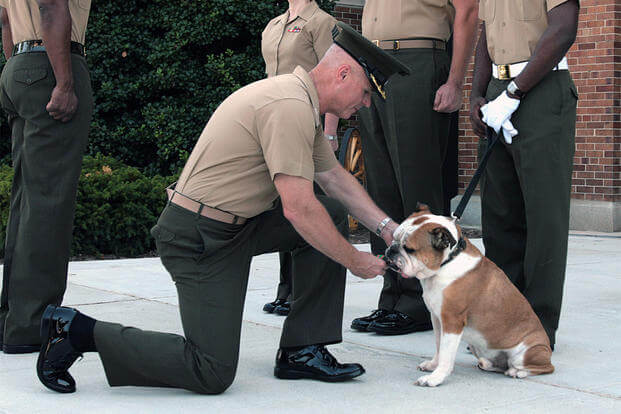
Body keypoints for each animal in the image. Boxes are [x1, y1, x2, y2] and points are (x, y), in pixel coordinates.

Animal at [386, 205, 556, 386]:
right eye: (394, 238)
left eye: (409, 249)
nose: (391, 249)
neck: (447, 262)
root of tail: (547, 349)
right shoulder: (437, 320)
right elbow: (439, 347)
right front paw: (433, 365)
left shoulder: (452, 322)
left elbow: (446, 355)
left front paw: (435, 378)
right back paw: (488, 364)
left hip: (526, 353)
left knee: (544, 368)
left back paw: (517, 372)